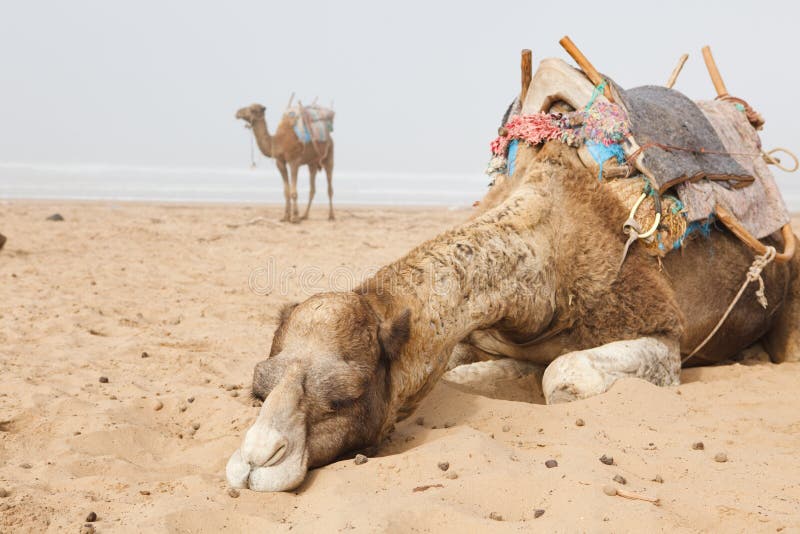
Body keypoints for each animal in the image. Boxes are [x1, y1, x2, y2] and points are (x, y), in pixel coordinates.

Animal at [225, 142, 800, 494]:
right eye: (258, 389)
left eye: (346, 395)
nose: (255, 462)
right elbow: (468, 373)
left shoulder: (663, 335)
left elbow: (561, 374)